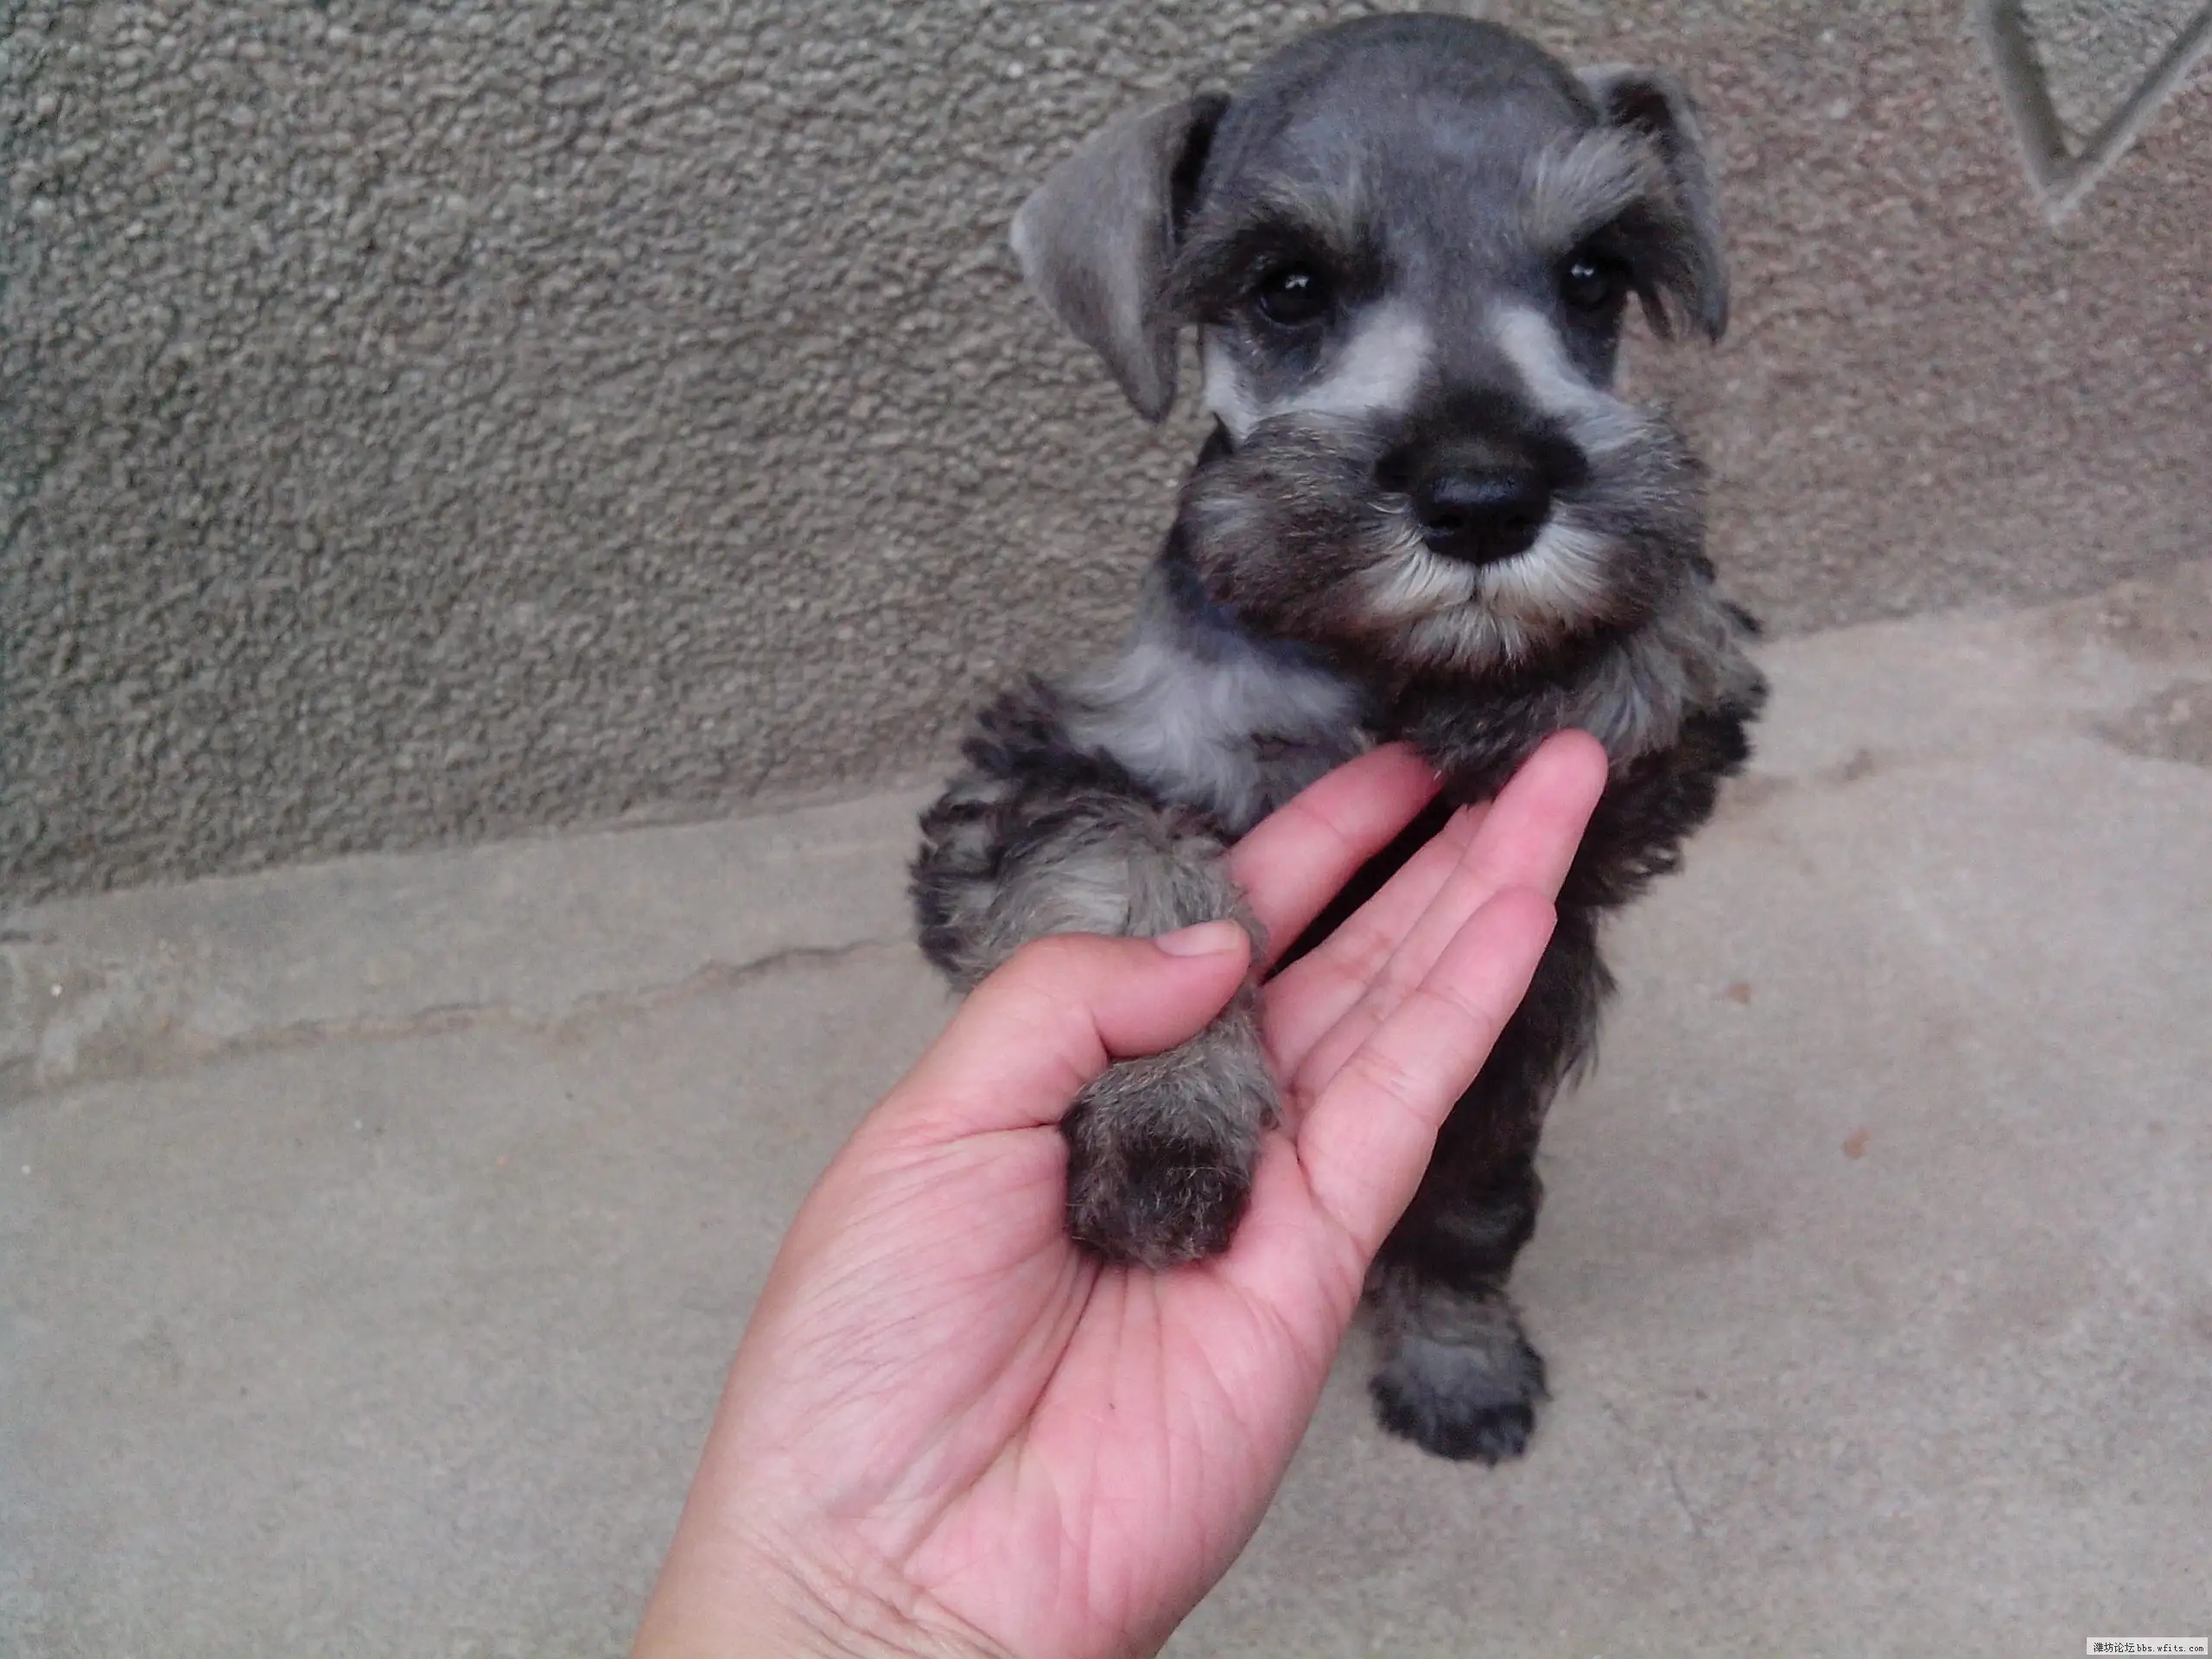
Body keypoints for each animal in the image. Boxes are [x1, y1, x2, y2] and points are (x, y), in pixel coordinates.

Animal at [902, 16, 1760, 1468]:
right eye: (1288, 288)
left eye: (1594, 275)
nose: (1486, 495)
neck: (1369, 665)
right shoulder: (1030, 773)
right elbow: (1123, 878)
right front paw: (1163, 1119)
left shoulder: (1601, 864)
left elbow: (1690, 661)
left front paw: (1588, 660)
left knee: (1462, 1228)